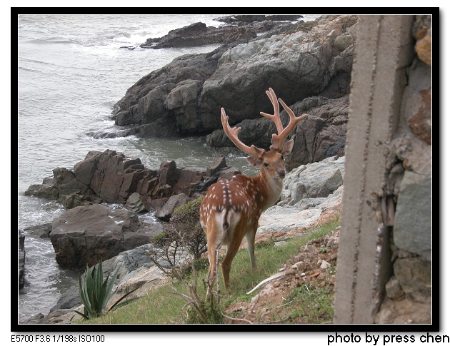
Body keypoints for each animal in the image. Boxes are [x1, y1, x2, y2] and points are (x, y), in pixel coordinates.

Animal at [200, 88, 302, 290]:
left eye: (281, 157)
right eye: (265, 163)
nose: (282, 172)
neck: (261, 197)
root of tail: (223, 205)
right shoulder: (254, 220)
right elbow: (252, 249)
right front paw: (255, 271)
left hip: (210, 232)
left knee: (211, 271)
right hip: (239, 227)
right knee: (225, 263)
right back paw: (229, 291)